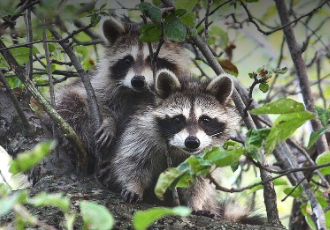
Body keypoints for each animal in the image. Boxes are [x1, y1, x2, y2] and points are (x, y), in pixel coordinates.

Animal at [49, 16, 191, 168]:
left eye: (154, 60)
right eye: (127, 60)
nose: (137, 81)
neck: (138, 92)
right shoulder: (99, 85)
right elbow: (89, 97)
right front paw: (109, 121)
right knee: (70, 102)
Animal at [98, 70, 262, 225]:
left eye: (205, 120)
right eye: (178, 119)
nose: (192, 142)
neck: (178, 148)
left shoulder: (207, 153)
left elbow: (200, 180)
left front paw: (196, 203)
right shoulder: (141, 131)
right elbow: (132, 159)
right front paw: (133, 185)